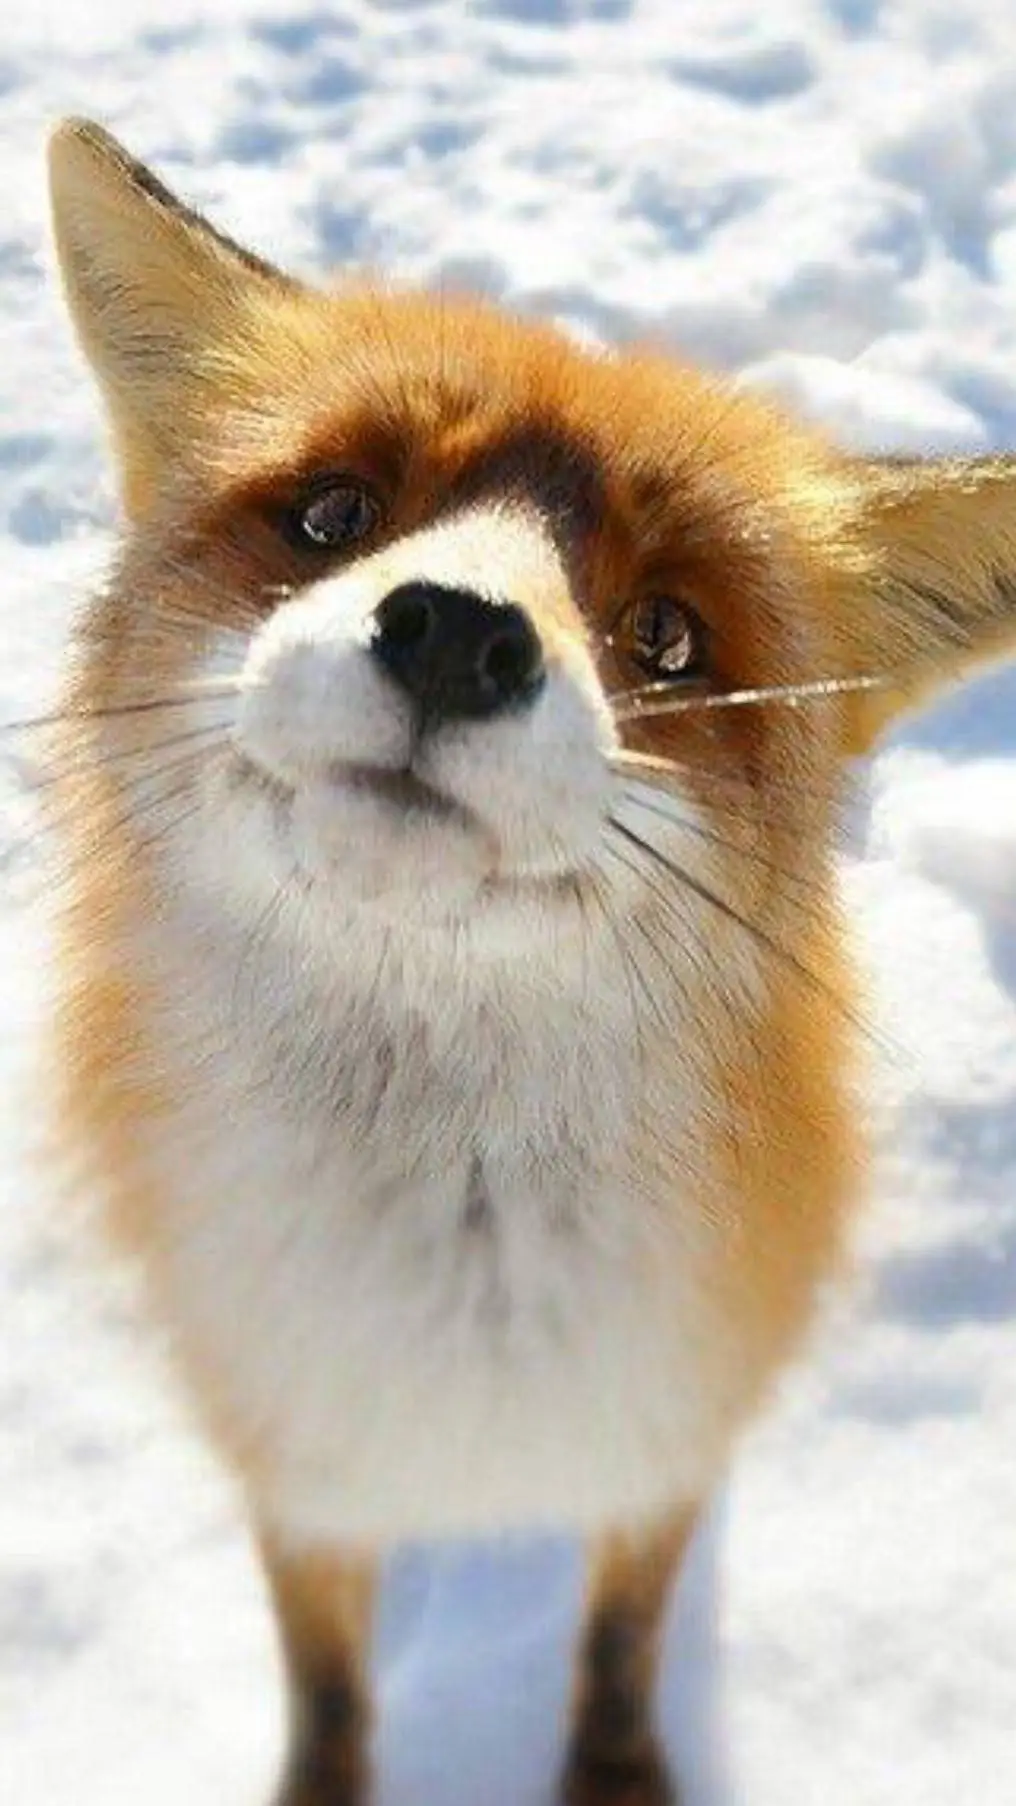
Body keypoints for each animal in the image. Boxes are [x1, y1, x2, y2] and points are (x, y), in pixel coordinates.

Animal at [44, 117, 1016, 1806]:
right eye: (332, 514)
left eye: (668, 636)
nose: (453, 632)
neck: (459, 1296)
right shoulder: (296, 1462)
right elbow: (328, 1681)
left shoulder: (662, 1439)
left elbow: (620, 1638)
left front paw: (615, 1771)